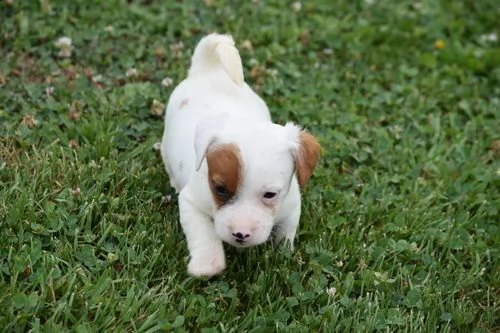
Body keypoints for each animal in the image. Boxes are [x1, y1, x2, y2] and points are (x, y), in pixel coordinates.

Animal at [160, 33, 320, 278]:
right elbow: (205, 234)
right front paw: (207, 264)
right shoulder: (191, 203)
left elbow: (286, 232)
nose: (240, 234)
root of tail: (208, 69)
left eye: (270, 194)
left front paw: (281, 256)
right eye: (220, 189)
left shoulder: (292, 205)